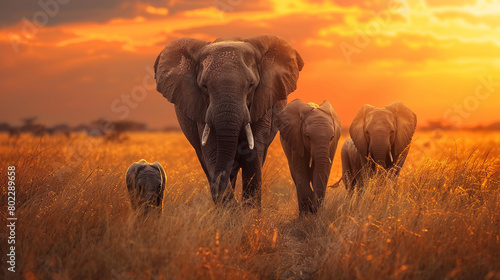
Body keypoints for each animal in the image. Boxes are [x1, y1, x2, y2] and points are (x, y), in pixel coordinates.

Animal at [154, 35, 302, 207]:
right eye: (204, 86)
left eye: (251, 85)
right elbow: (212, 151)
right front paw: (231, 210)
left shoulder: (264, 102)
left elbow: (254, 151)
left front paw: (250, 212)